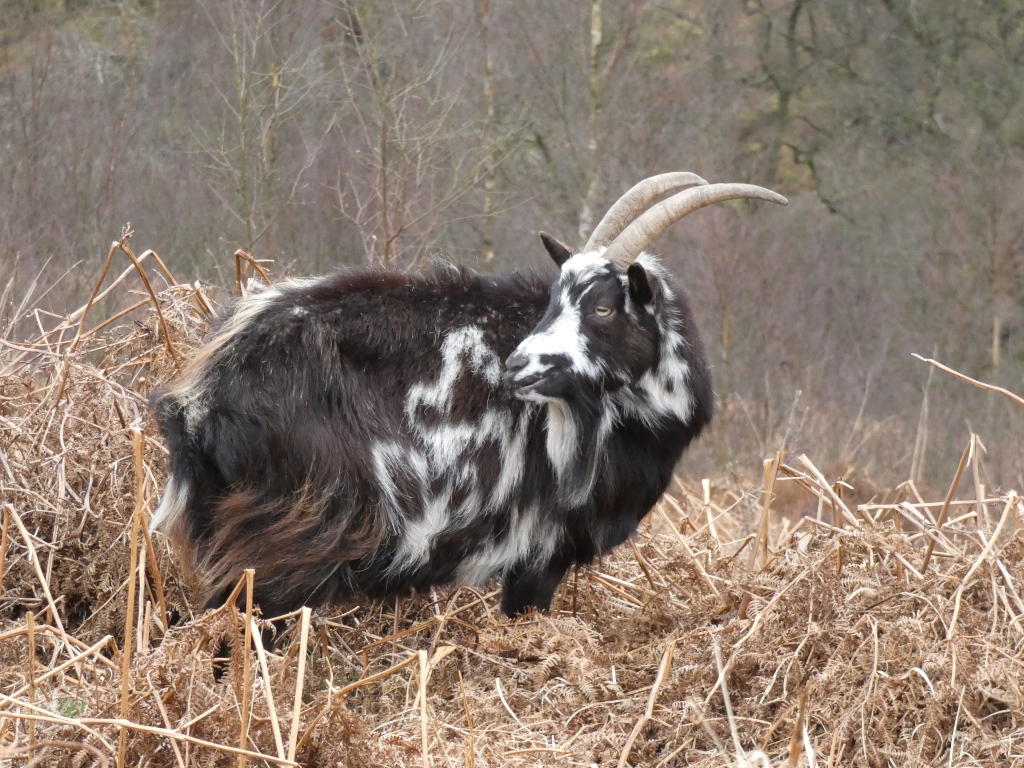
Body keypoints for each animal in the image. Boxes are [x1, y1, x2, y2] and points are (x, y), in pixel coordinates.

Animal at [151, 173, 786, 617]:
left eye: (605, 307)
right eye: (556, 299)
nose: (518, 365)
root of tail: (203, 396)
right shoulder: (539, 547)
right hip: (285, 540)